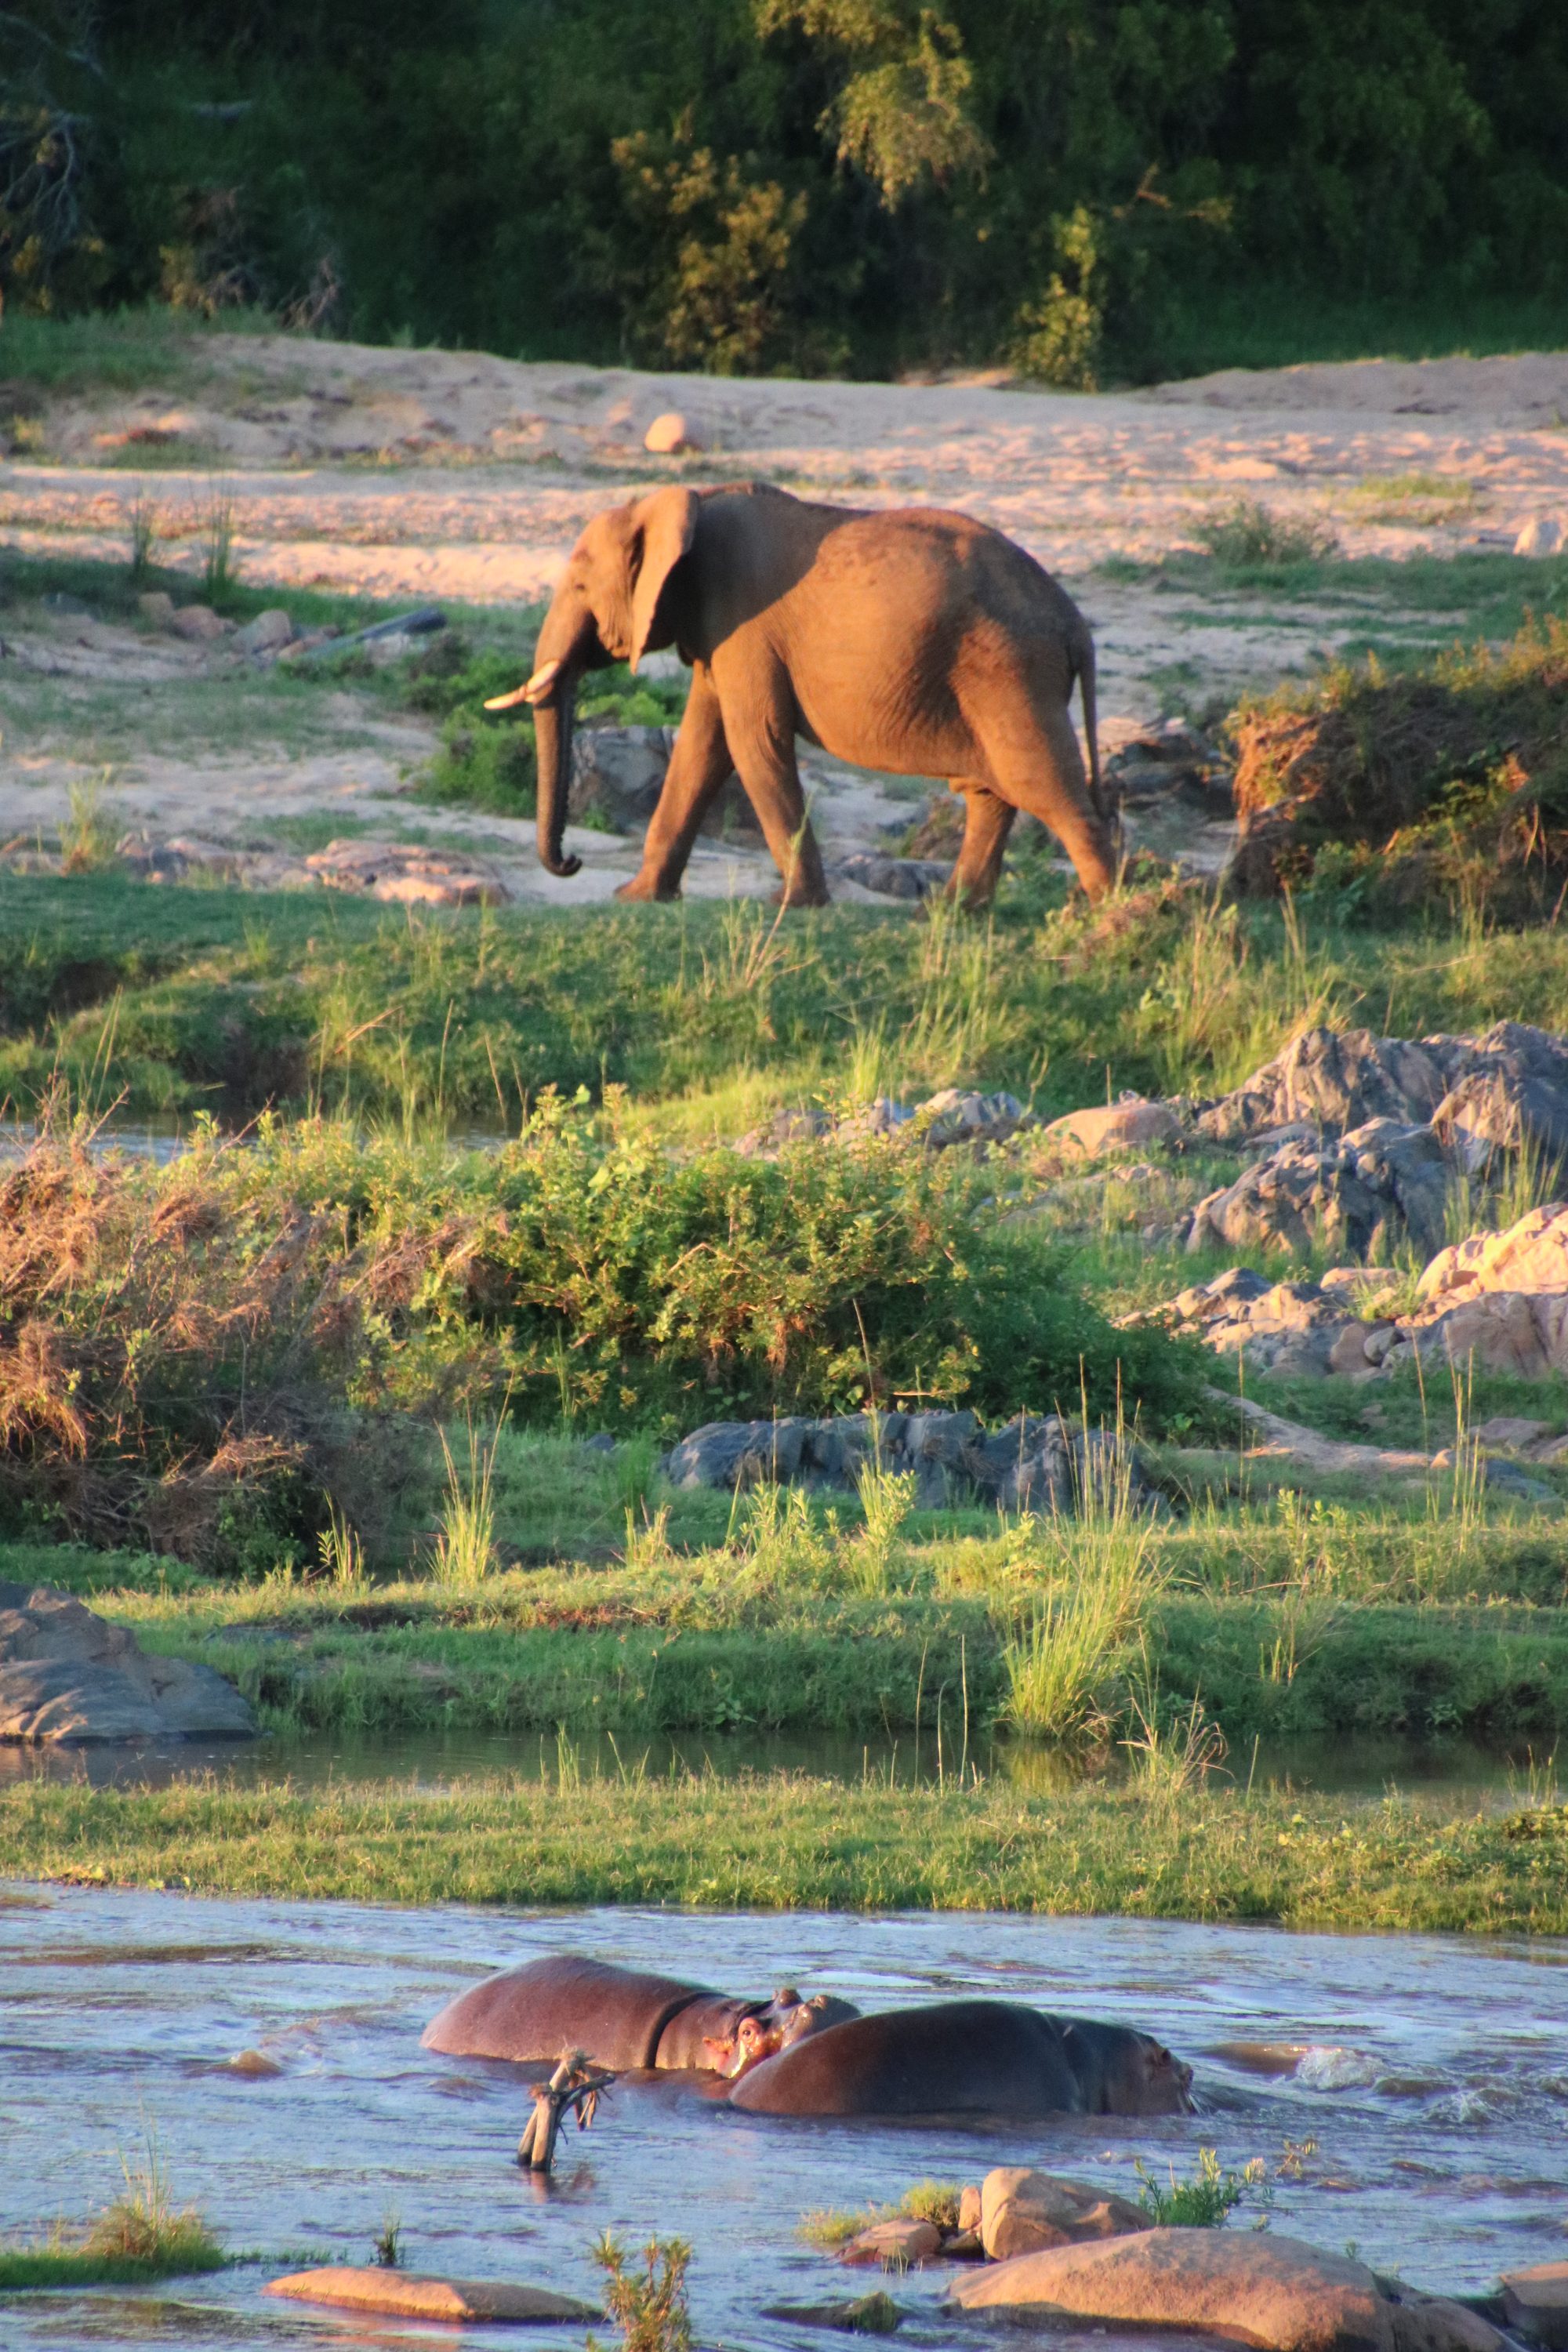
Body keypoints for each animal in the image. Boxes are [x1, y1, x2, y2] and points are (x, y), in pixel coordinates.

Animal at [485, 482, 1115, 909]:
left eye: (580, 586)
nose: (571, 860)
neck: (683, 502)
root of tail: (1076, 624)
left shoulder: (742, 622)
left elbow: (752, 740)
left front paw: (790, 907)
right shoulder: (719, 634)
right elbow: (703, 745)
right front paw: (636, 898)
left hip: (1010, 670)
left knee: (1045, 787)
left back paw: (1109, 918)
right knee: (991, 793)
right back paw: (950, 915)